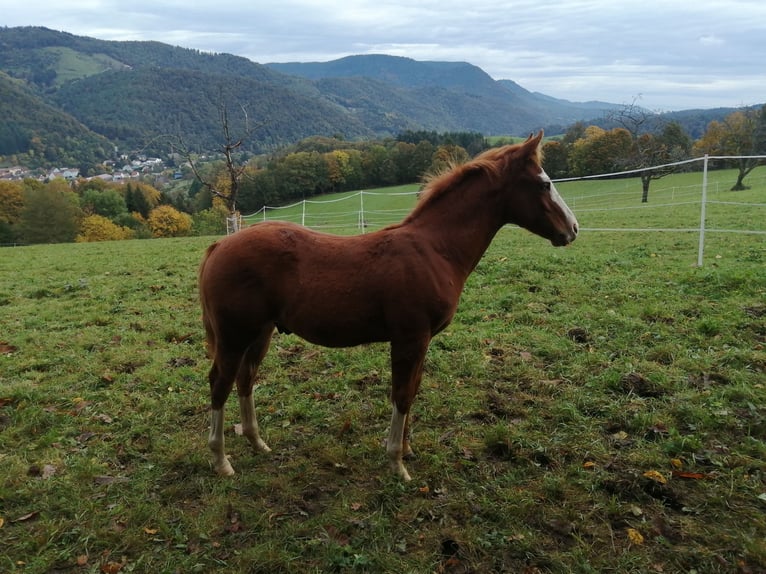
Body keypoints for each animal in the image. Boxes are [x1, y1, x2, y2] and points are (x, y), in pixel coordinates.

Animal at [201, 133, 580, 484]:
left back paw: (257, 442)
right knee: (220, 383)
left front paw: (407, 450)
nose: (573, 229)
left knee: (245, 379)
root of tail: (220, 245)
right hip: (234, 336)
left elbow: (413, 389)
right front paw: (397, 462)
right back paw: (220, 461)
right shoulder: (410, 338)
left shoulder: (423, 341)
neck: (435, 249)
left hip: (260, 333)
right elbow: (402, 395)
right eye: (544, 184)